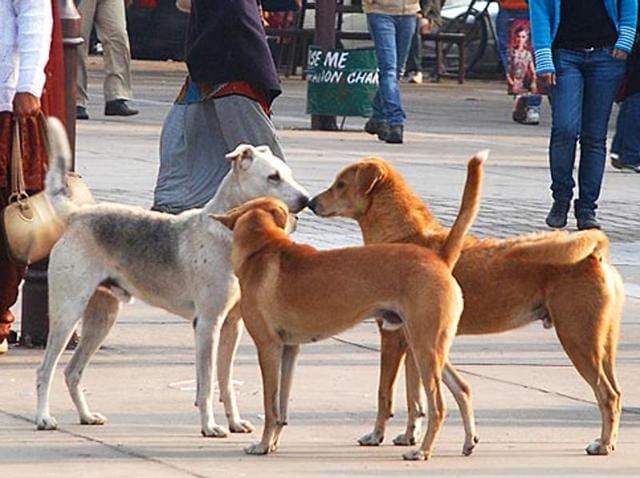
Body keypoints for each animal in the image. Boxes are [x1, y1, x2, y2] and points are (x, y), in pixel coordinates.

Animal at [35, 118, 310, 436]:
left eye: (288, 174)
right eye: (273, 177)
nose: (307, 200)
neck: (227, 232)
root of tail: (77, 215)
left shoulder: (233, 325)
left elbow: (226, 382)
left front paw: (234, 422)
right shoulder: (207, 325)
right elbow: (206, 383)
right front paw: (210, 426)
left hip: (101, 318)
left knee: (72, 371)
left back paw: (87, 416)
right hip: (68, 313)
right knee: (46, 370)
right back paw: (43, 418)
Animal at [210, 160, 484, 460]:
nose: (302, 212)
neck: (262, 249)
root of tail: (439, 260)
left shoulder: (268, 348)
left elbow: (270, 407)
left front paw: (262, 444)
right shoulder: (289, 350)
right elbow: (281, 407)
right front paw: (273, 443)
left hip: (424, 349)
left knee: (438, 406)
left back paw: (422, 450)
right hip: (427, 345)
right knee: (463, 388)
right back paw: (468, 441)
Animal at [310, 154, 624, 456]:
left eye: (340, 184)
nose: (311, 203)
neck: (404, 234)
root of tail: (595, 256)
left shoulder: (392, 338)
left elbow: (384, 393)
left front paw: (377, 435)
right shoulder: (413, 344)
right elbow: (415, 397)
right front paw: (410, 436)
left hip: (578, 340)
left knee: (606, 395)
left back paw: (602, 444)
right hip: (603, 346)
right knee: (617, 393)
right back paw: (609, 440)